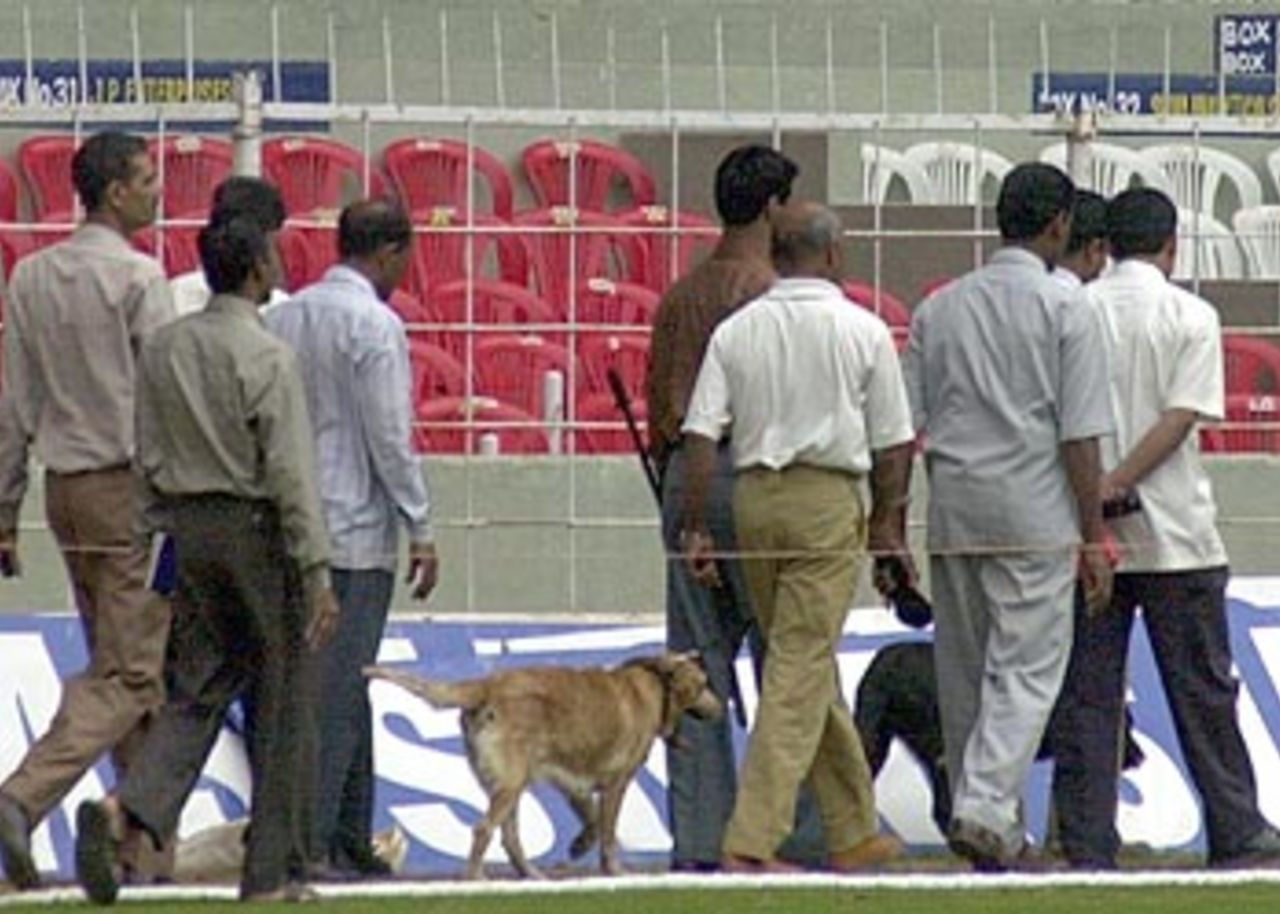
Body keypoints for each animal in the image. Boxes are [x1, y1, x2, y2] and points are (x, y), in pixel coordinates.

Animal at [366, 647, 721, 875]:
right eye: (703, 684)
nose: (720, 708)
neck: (655, 686)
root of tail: (486, 684)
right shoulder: (617, 783)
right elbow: (608, 832)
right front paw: (614, 870)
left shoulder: (574, 784)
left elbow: (593, 821)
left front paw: (580, 845)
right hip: (511, 784)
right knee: (484, 830)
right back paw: (475, 879)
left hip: (508, 786)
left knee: (509, 839)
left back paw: (532, 876)